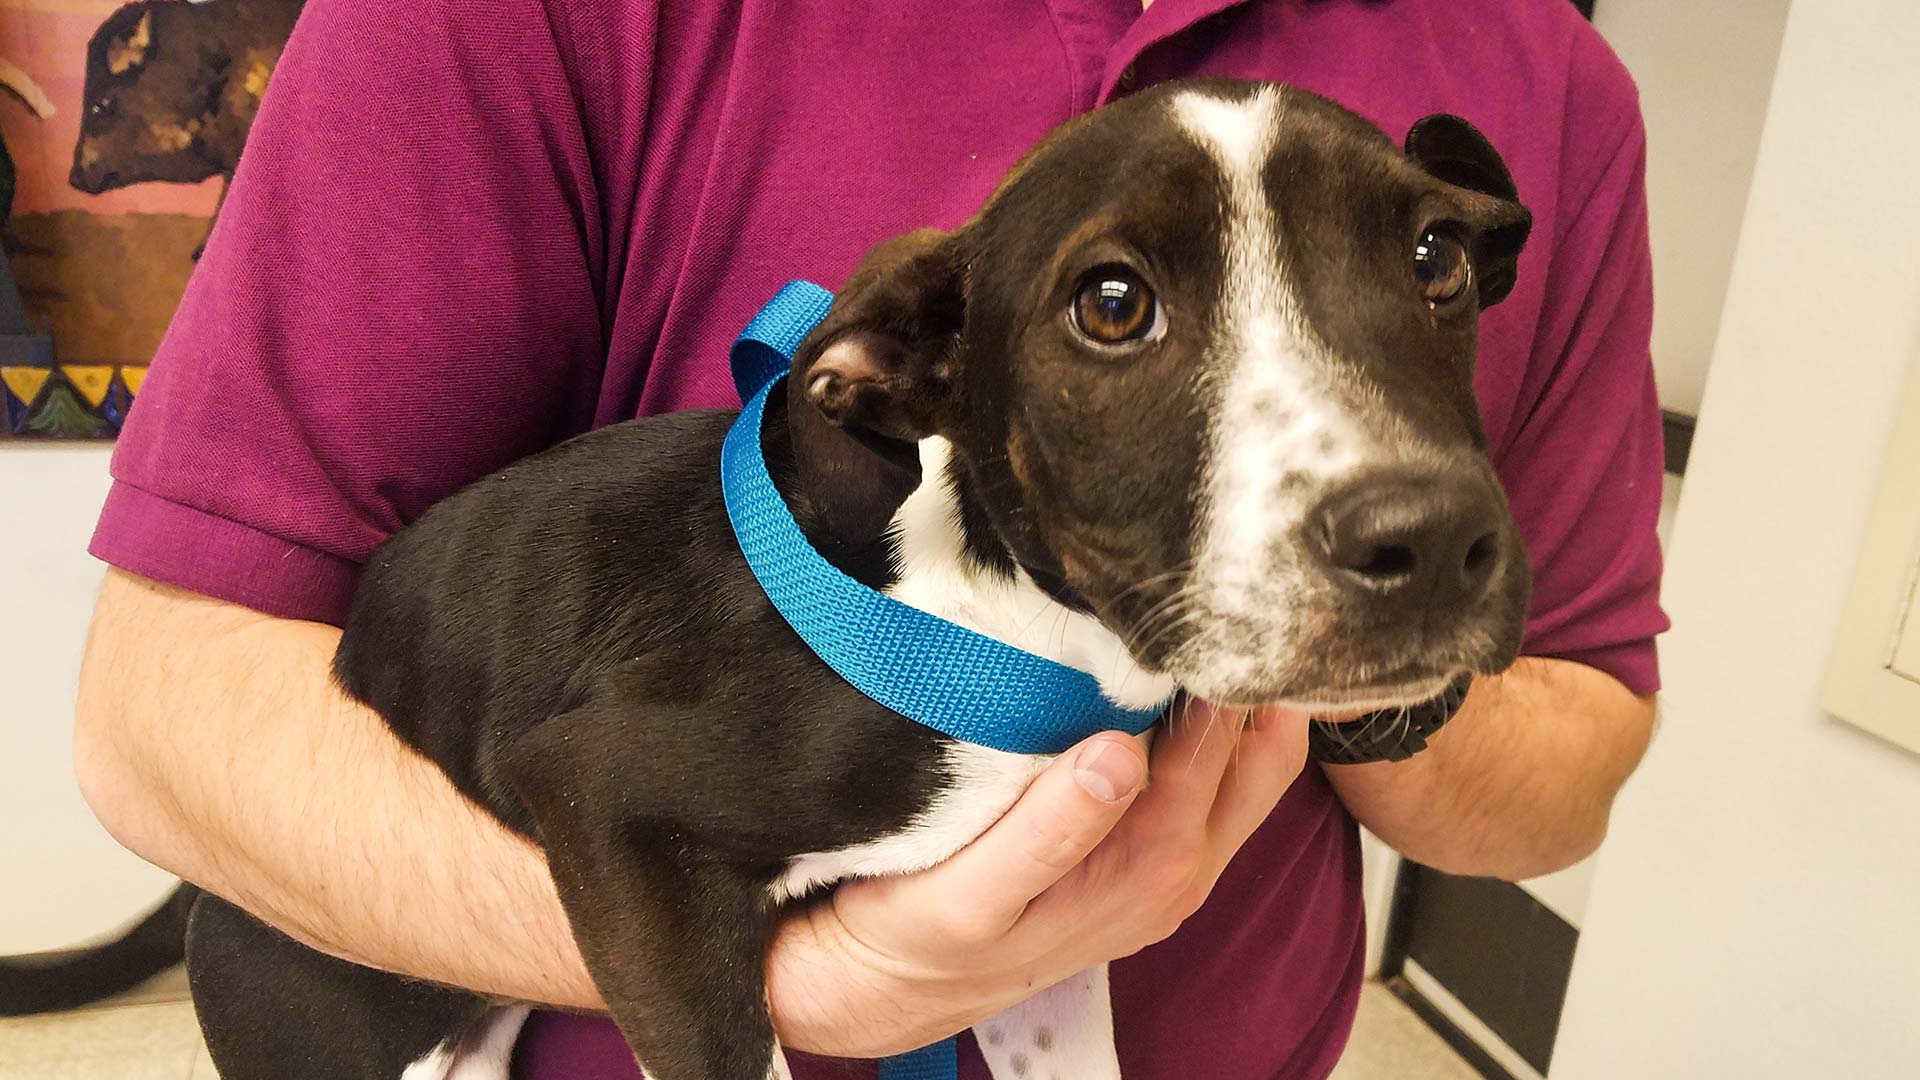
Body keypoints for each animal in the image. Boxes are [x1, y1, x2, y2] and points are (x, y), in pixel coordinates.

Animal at [180, 77, 1528, 1076]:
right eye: (1111, 303)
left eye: (1438, 260)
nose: (1427, 541)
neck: (1020, 633)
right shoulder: (613, 810)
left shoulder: (1040, 983)